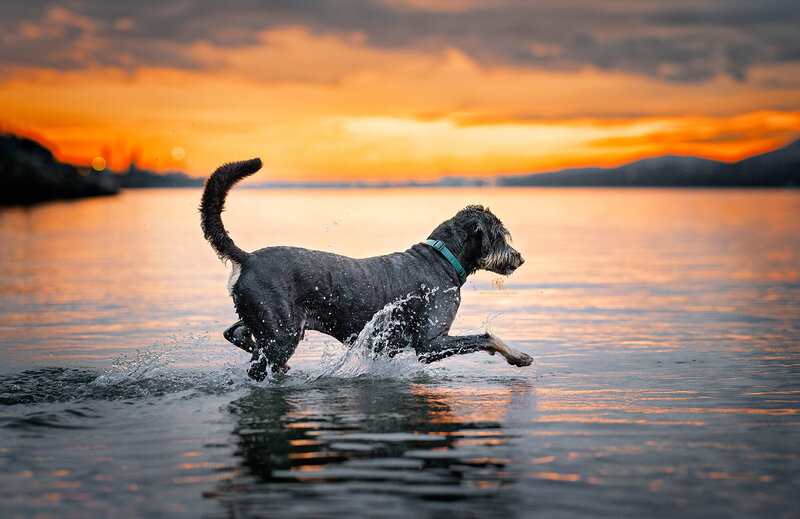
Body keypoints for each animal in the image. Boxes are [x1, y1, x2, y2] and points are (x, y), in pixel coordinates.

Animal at [203, 159, 536, 382]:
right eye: (500, 236)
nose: (519, 258)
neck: (443, 260)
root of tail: (246, 258)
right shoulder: (431, 343)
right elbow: (486, 337)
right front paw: (518, 356)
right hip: (281, 332)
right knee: (257, 365)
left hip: (265, 322)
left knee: (235, 332)